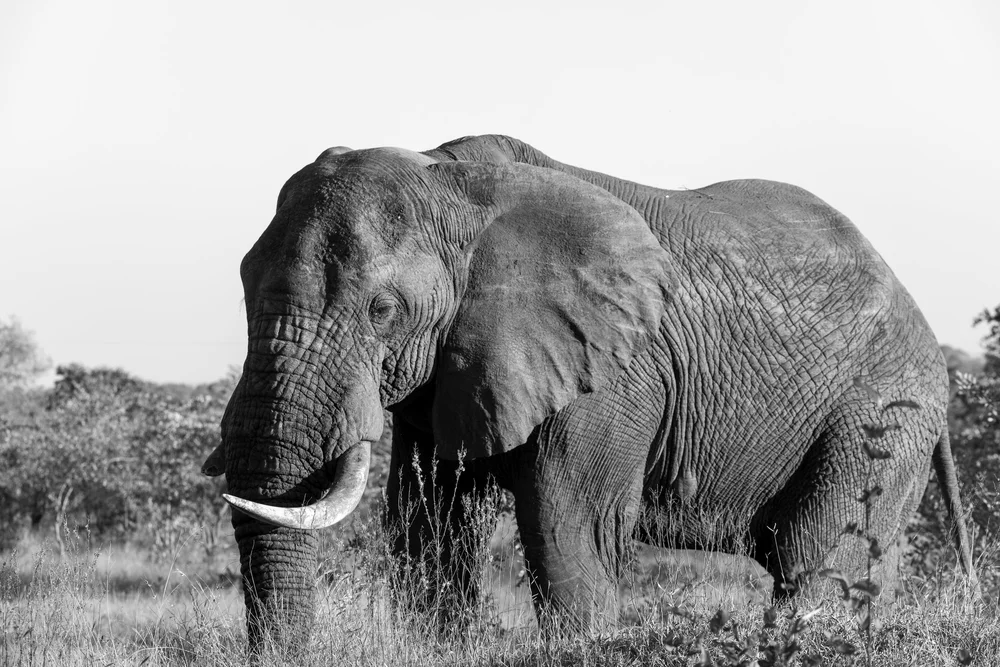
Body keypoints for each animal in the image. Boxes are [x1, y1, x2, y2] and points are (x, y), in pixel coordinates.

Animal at [205, 134, 976, 649]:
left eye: (383, 310)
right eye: (241, 281)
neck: (456, 185)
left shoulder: (614, 368)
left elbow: (566, 518)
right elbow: (427, 522)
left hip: (881, 413)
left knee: (816, 553)